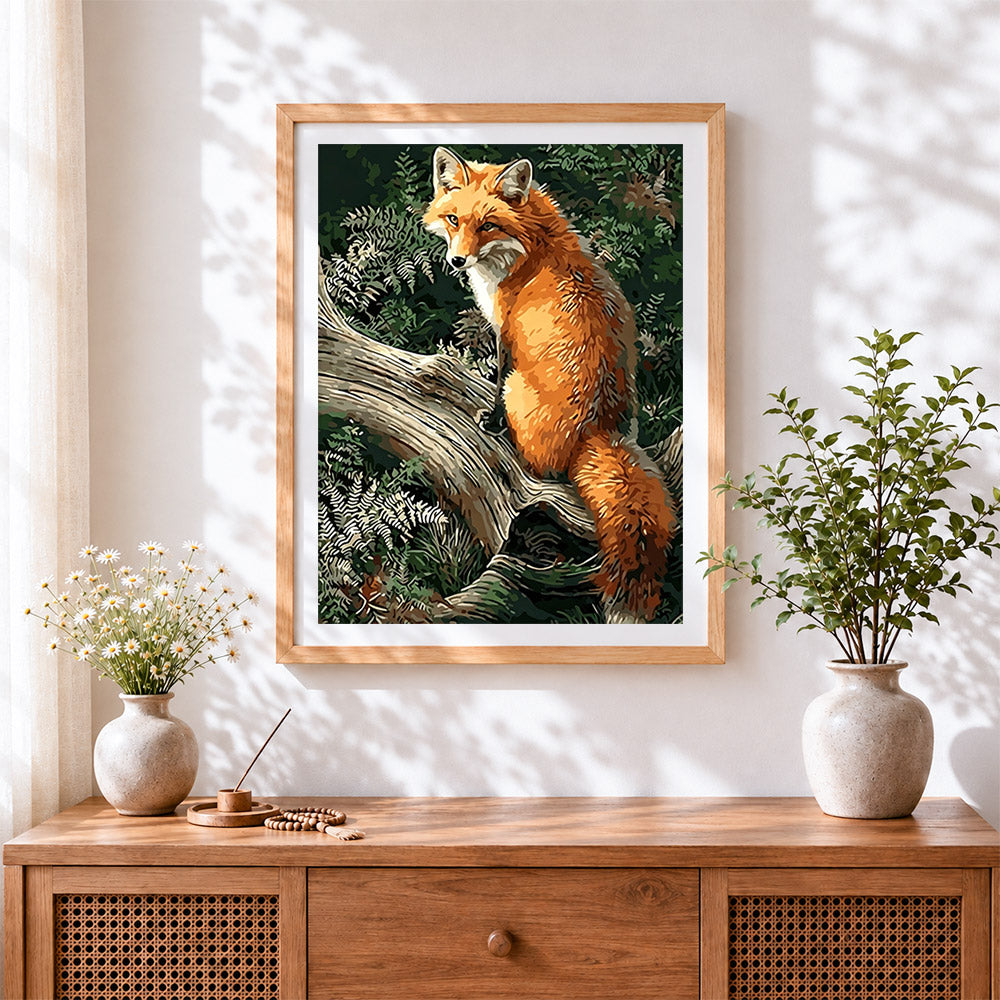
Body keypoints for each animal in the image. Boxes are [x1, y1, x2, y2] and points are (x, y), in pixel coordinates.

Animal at [423, 147, 677, 621]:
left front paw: (491, 420)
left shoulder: (505, 331)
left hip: (519, 389)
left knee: (538, 465)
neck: (531, 244)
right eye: (454, 220)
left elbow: (496, 378)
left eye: (487, 224)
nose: (457, 261)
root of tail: (599, 430)